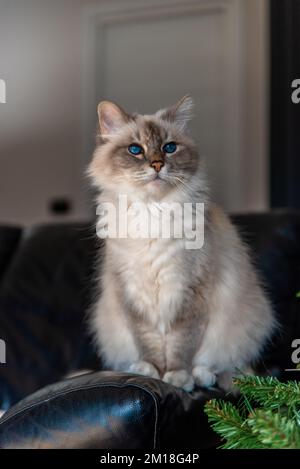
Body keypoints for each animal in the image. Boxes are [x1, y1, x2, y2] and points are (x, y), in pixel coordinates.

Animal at [88, 96, 276, 392]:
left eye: (169, 147)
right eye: (135, 150)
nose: (156, 165)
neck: (152, 212)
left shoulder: (190, 294)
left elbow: (180, 345)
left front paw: (177, 378)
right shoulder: (131, 294)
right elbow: (149, 343)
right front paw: (152, 372)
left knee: (222, 367)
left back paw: (201, 377)